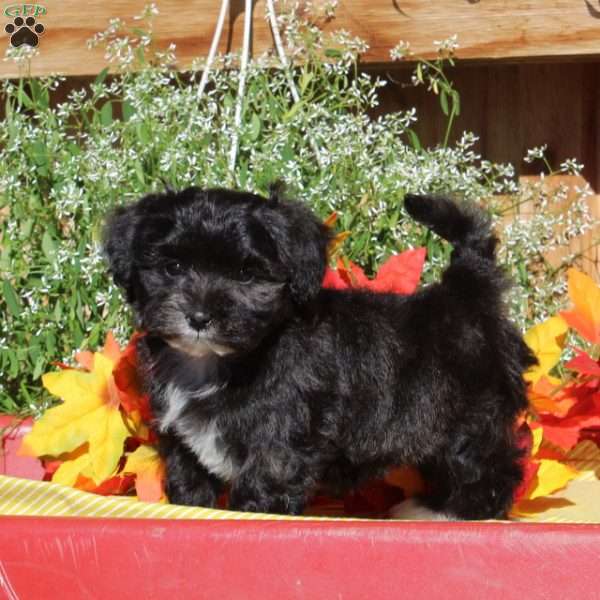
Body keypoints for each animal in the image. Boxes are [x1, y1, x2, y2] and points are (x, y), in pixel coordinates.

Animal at [104, 189, 536, 520]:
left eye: (246, 274)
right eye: (172, 267)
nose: (199, 317)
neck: (225, 359)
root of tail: (465, 290)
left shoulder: (278, 440)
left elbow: (264, 485)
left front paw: (252, 515)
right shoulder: (182, 438)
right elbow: (189, 479)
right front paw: (192, 508)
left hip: (470, 415)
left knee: (486, 467)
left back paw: (458, 512)